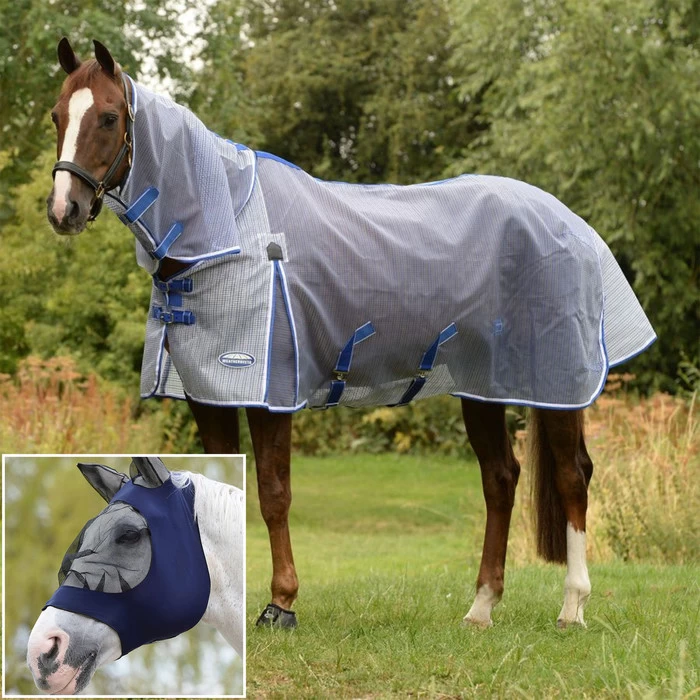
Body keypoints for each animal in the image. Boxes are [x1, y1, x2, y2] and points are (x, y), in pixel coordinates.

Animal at [46, 38, 656, 632]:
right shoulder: (209, 396)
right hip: (483, 387)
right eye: (56, 115)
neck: (229, 231)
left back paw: (572, 608)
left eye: (108, 117)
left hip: (557, 382)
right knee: (501, 479)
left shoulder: (272, 396)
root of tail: (571, 223)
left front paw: (281, 605)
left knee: (572, 477)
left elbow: (273, 494)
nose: (63, 210)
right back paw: (480, 609)